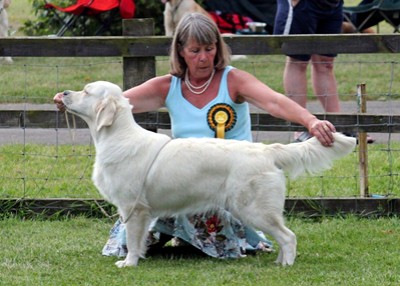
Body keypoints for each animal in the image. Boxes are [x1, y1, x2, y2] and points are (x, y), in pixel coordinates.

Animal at [61, 81, 356, 268]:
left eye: (86, 91)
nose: (62, 93)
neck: (117, 136)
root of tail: (266, 150)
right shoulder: (142, 211)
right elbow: (141, 239)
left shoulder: (133, 208)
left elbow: (133, 241)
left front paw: (128, 262)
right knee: (284, 237)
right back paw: (280, 260)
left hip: (253, 208)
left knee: (288, 236)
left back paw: (286, 265)